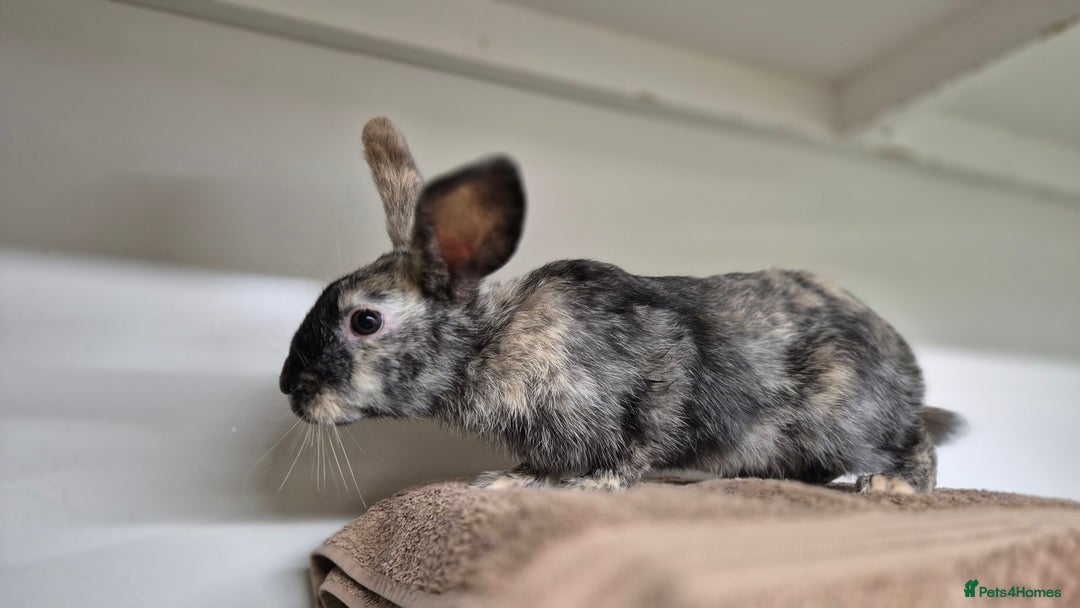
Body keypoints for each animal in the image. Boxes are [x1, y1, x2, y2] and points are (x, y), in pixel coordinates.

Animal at [279, 116, 963, 495]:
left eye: (365, 320)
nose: (289, 387)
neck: (489, 341)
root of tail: (907, 369)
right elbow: (542, 460)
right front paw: (511, 480)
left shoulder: (651, 382)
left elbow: (634, 447)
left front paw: (588, 487)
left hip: (850, 416)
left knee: (916, 444)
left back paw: (894, 486)